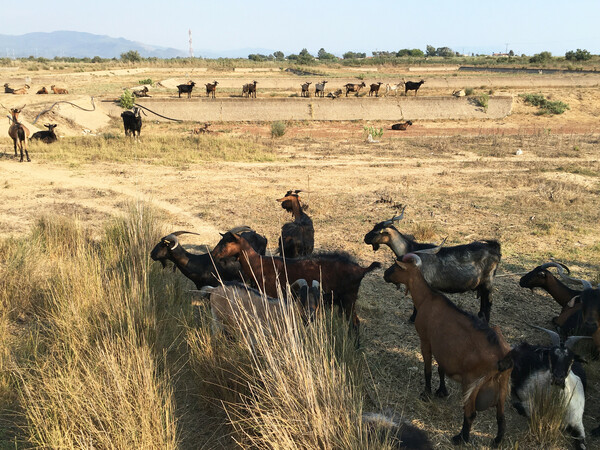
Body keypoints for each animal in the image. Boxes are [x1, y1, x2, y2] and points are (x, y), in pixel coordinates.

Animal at [211, 234, 380, 336]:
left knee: (355, 323)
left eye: (226, 242)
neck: (259, 264)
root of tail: (361, 269)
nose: (213, 254)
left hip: (348, 300)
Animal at [366, 209, 502, 322]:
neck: (412, 247)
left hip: (487, 283)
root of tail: (494, 249)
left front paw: (413, 319)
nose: (365, 238)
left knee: (488, 303)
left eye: (377, 232)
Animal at [384, 253, 510, 446]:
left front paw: (427, 393)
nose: (384, 274)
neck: (427, 297)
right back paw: (496, 441)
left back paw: (461, 438)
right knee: (501, 417)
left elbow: (428, 369)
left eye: (396, 266)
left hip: (471, 383)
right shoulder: (442, 348)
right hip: (502, 386)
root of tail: (501, 356)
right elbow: (441, 368)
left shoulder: (426, 341)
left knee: (470, 413)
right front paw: (441, 391)